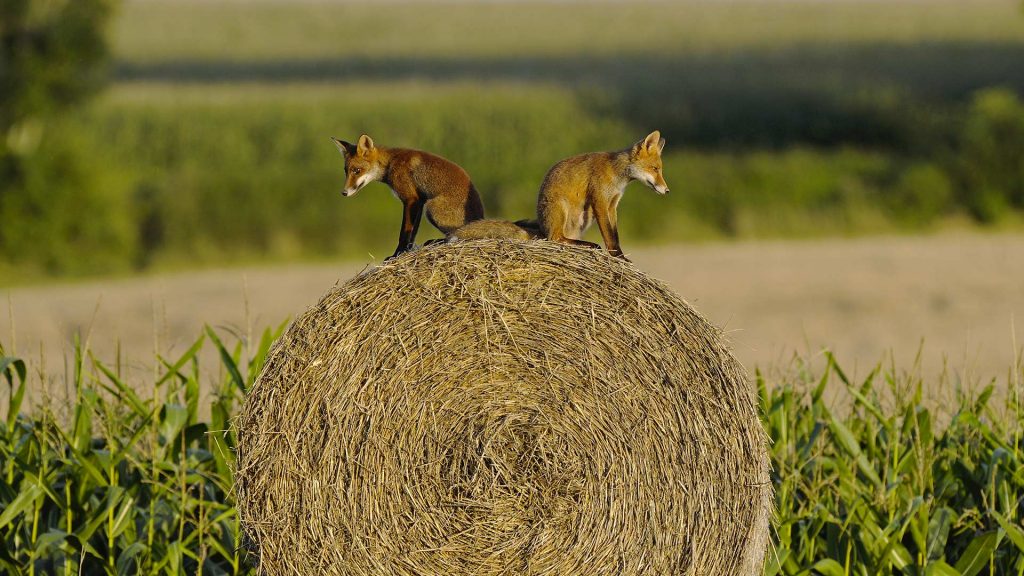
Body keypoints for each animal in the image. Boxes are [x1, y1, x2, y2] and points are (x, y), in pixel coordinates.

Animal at [331, 132, 483, 258]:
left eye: (357, 170)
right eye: (346, 171)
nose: (344, 192)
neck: (390, 163)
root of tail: (480, 216)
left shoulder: (411, 199)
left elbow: (404, 232)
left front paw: (397, 254)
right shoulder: (420, 201)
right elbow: (413, 233)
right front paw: (408, 250)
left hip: (432, 209)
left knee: (456, 234)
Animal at [536, 130, 671, 260]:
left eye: (659, 170)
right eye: (655, 169)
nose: (667, 190)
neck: (617, 176)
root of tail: (542, 226)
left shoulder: (612, 204)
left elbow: (615, 235)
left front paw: (619, 256)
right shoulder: (600, 201)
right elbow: (608, 234)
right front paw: (619, 257)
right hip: (563, 209)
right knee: (556, 237)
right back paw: (589, 245)